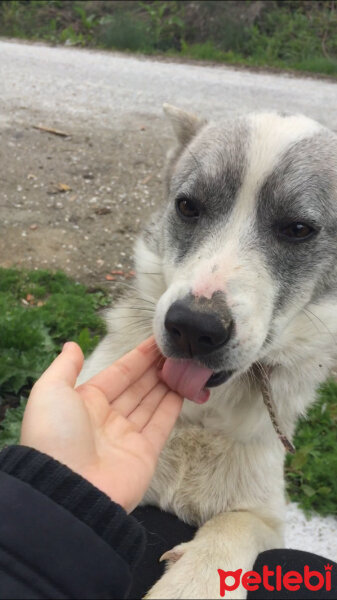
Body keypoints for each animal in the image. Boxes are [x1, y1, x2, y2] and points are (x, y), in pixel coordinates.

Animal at [79, 105, 336, 596]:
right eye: (187, 206)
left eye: (298, 229)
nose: (193, 328)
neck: (202, 418)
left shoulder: (266, 516)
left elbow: (235, 527)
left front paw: (194, 580)